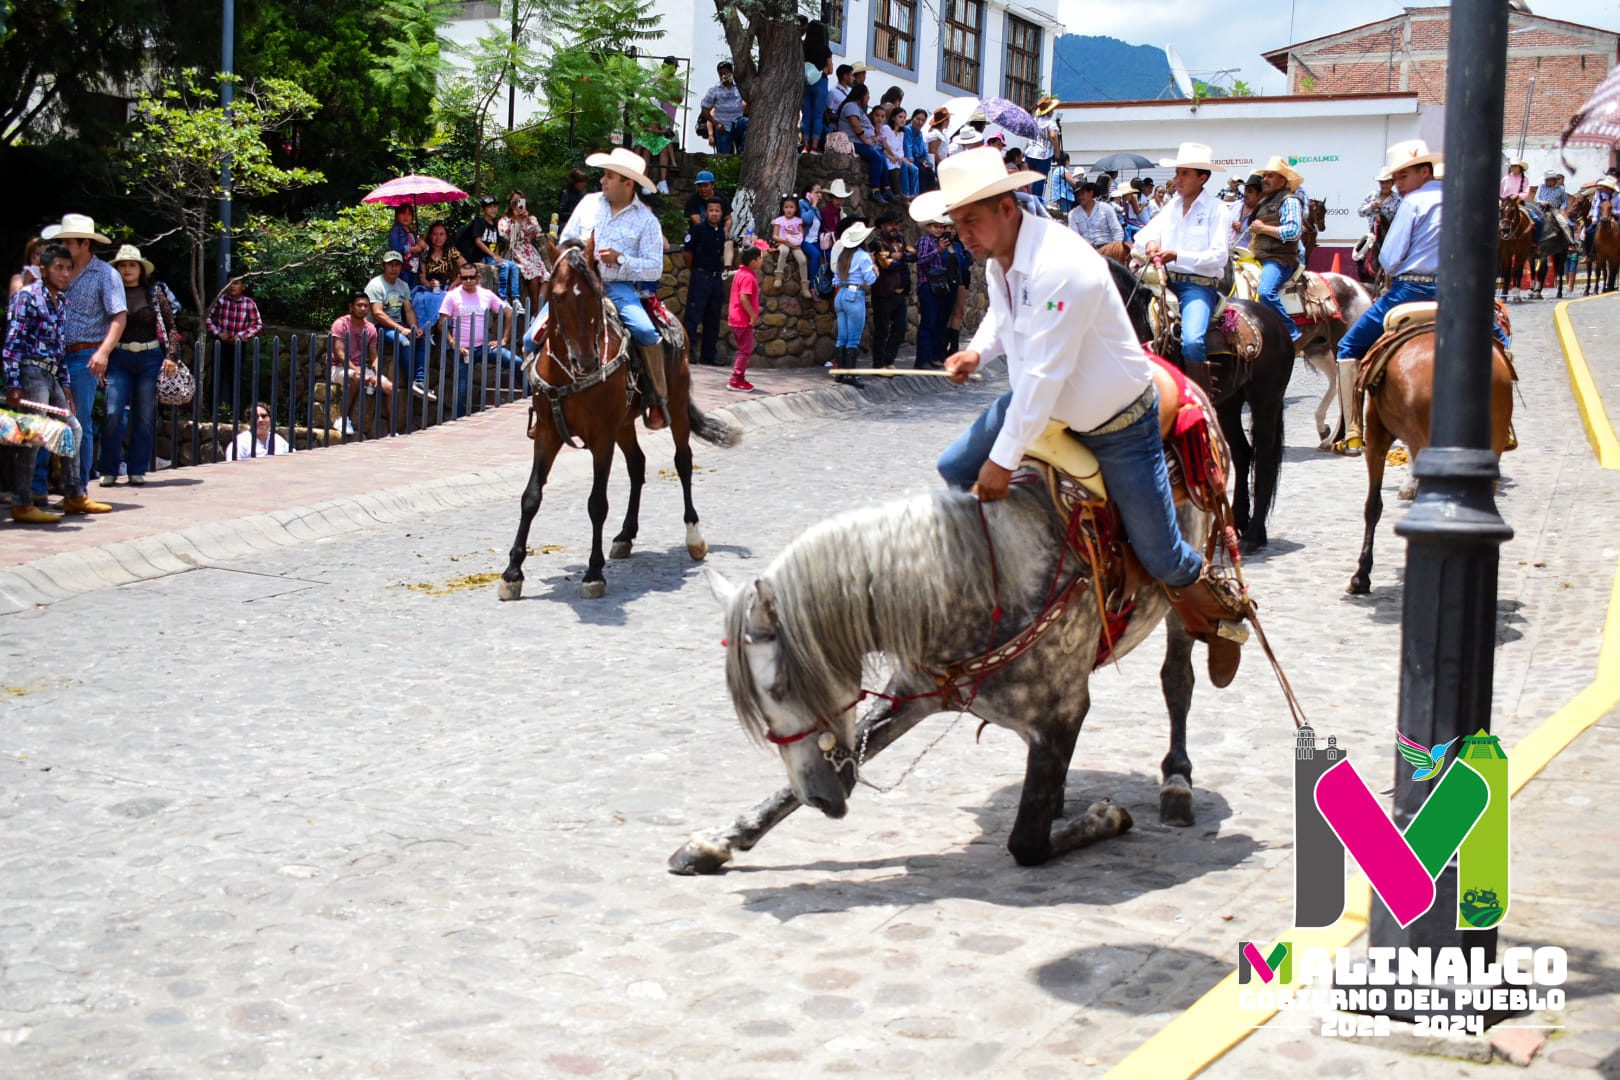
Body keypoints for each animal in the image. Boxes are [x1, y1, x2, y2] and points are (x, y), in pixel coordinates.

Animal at [495, 238, 738, 605]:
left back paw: (694, 537)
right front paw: (512, 572)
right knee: (638, 465)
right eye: (557, 295)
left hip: (674, 408)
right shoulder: (549, 434)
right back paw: (625, 535)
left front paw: (594, 573)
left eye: (596, 293)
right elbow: (531, 497)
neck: (570, 375)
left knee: (683, 461)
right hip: (624, 425)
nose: (586, 360)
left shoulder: (602, 437)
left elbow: (597, 504)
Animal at [670, 482, 1218, 880]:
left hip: (1183, 597)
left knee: (1178, 681)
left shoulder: (1062, 715)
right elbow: (843, 754)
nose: (820, 797)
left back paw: (1176, 783)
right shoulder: (914, 694)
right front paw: (716, 841)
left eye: (783, 688)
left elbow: (1026, 843)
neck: (979, 587)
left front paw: (1107, 818)